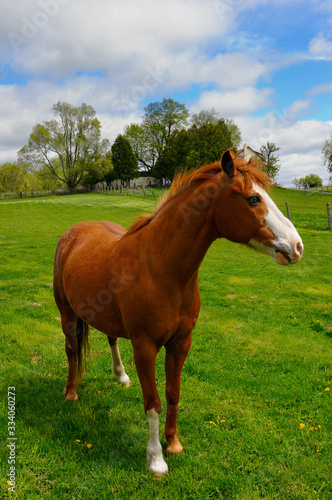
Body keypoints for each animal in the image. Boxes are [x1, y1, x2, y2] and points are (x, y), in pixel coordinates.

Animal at [52, 149, 304, 476]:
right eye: (253, 198)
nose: (297, 247)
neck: (160, 267)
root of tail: (74, 232)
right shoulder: (145, 347)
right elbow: (153, 402)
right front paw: (156, 459)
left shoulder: (181, 343)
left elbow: (173, 393)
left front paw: (172, 444)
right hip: (67, 313)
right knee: (72, 350)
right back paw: (71, 391)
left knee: (111, 339)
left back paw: (121, 376)